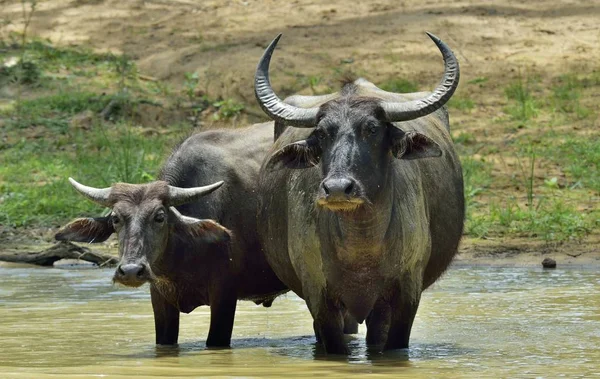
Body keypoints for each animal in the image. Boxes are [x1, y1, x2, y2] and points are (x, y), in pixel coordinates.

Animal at [55, 124, 288, 348]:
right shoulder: (160, 297)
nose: (130, 271)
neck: (181, 256)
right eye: (115, 218)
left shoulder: (225, 295)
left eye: (160, 217)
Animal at [253, 33, 464, 356]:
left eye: (373, 129)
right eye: (322, 133)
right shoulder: (318, 297)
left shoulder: (405, 296)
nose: (338, 188)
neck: (361, 246)